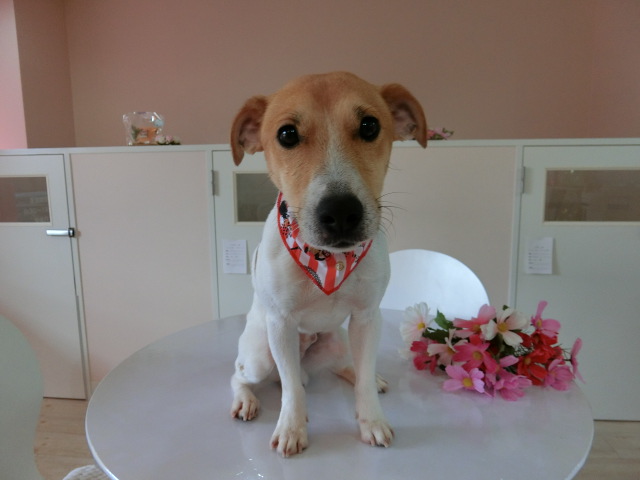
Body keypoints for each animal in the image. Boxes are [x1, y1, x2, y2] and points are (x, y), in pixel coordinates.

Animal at [229, 71, 427, 457]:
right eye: (287, 134)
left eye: (369, 125)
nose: (341, 212)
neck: (326, 260)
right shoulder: (281, 323)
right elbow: (292, 392)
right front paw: (292, 428)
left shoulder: (367, 317)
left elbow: (362, 381)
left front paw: (372, 420)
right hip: (260, 355)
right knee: (242, 374)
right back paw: (245, 399)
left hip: (337, 342)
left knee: (348, 368)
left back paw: (368, 377)